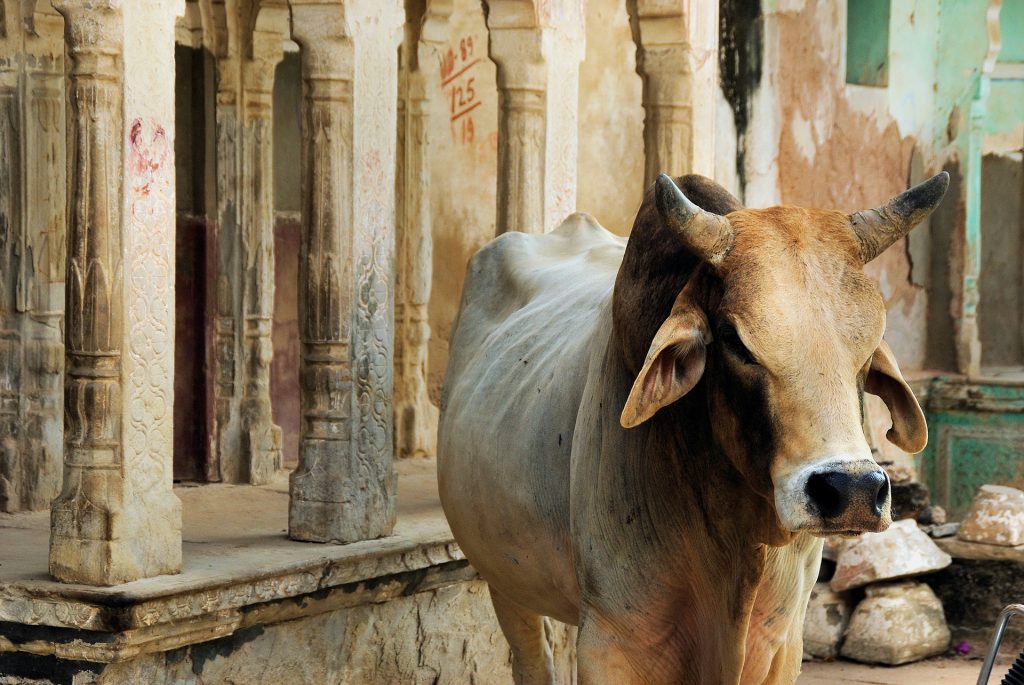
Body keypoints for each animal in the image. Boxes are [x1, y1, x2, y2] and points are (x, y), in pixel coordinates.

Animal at [436, 172, 946, 683]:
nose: (853, 491)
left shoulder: (782, 644)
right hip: (502, 578)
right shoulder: (611, 641)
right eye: (734, 340)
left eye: (872, 343)